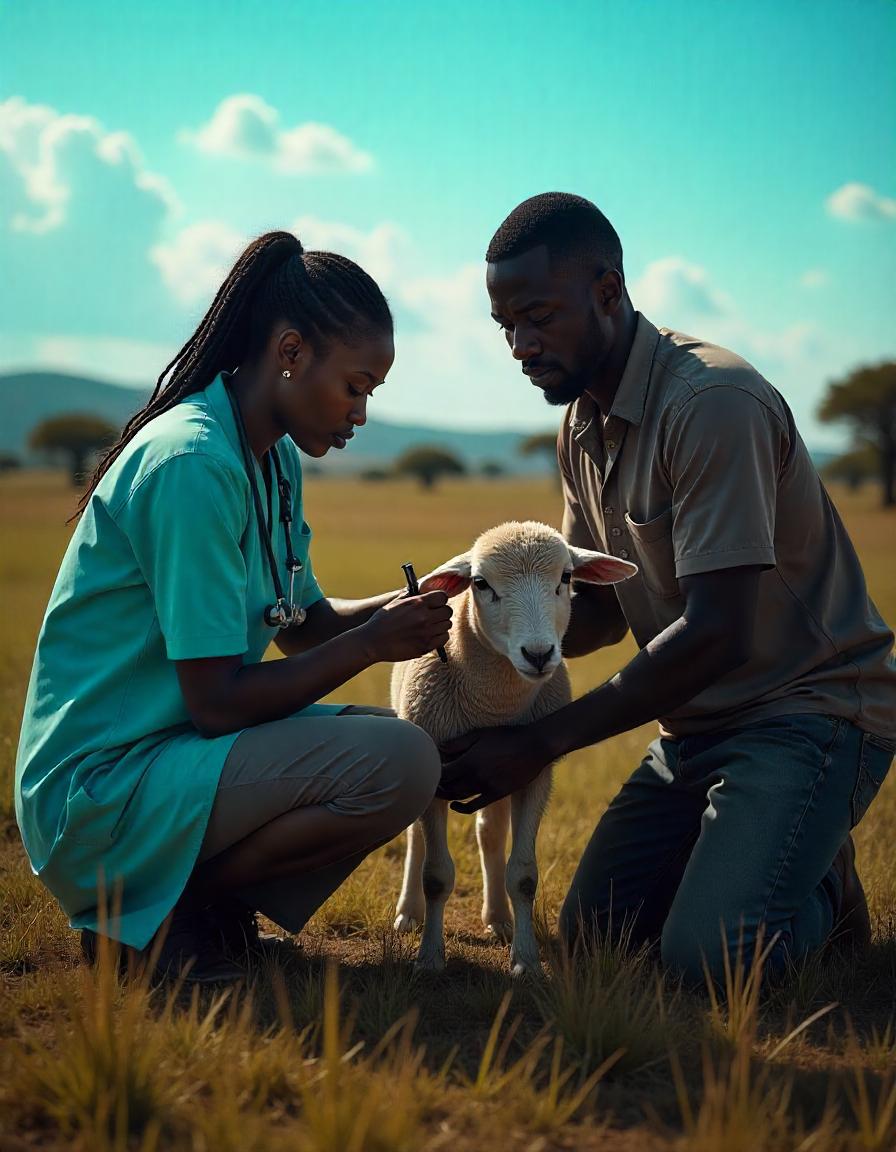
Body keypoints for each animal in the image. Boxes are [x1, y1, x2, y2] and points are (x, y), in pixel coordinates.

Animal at [391, 523, 635, 981]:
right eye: (480, 584)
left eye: (566, 578)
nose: (538, 655)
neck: (492, 705)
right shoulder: (438, 760)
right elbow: (436, 876)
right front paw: (430, 958)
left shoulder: (529, 767)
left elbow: (522, 876)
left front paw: (526, 961)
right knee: (416, 837)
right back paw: (408, 913)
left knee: (489, 833)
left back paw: (499, 918)